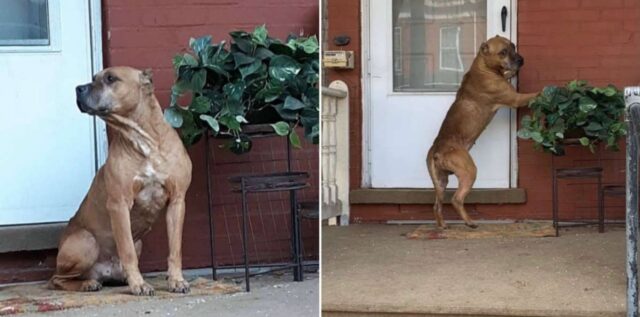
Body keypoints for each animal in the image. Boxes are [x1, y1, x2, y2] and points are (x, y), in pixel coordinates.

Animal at [48, 66, 191, 294]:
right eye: (94, 78)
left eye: (110, 78)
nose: (78, 88)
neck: (144, 140)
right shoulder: (119, 204)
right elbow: (127, 250)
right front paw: (139, 284)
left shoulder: (177, 201)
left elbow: (175, 249)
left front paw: (176, 280)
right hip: (86, 241)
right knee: (56, 279)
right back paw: (88, 283)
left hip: (138, 242)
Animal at [428, 35, 536, 228]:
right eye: (503, 52)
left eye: (513, 46)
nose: (521, 60)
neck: (484, 66)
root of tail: (437, 150)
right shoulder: (516, 99)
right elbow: (535, 94)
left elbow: (507, 74)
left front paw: (511, 73)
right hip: (468, 171)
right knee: (456, 199)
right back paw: (470, 222)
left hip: (440, 181)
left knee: (437, 205)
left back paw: (442, 225)